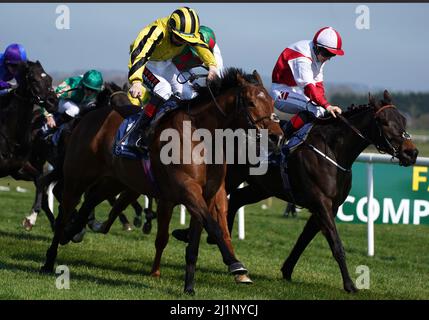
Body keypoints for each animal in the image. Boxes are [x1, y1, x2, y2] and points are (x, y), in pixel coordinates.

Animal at [40, 69, 284, 294]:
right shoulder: (187, 189)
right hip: (77, 177)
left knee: (91, 200)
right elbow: (212, 226)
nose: (277, 136)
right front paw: (235, 265)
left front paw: (189, 287)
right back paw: (49, 260)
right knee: (63, 212)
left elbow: (195, 241)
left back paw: (74, 232)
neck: (201, 135)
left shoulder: (207, 193)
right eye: (251, 102)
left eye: (272, 102)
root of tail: (88, 115)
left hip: (116, 180)